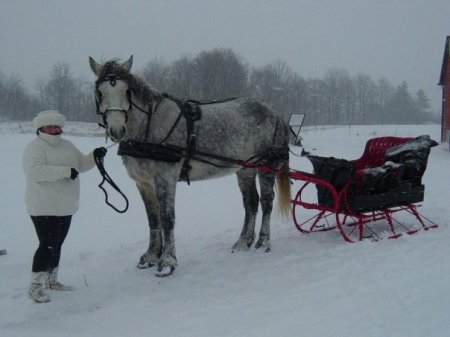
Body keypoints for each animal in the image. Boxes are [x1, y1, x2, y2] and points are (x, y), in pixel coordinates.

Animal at [89, 55, 292, 276]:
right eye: (99, 92)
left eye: (127, 91)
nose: (117, 130)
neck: (147, 129)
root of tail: (275, 113)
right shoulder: (143, 183)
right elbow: (153, 218)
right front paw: (151, 256)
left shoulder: (165, 178)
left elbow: (167, 218)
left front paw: (167, 261)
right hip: (246, 168)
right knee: (251, 202)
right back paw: (242, 243)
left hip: (267, 165)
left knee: (266, 201)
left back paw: (263, 242)